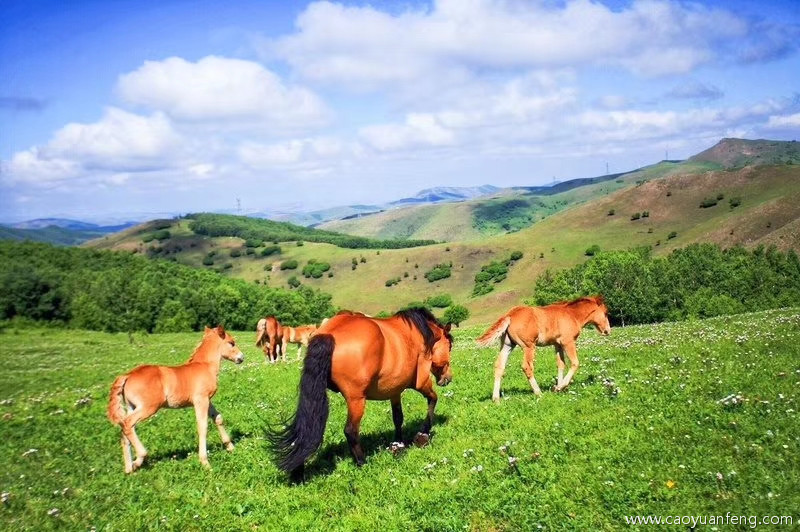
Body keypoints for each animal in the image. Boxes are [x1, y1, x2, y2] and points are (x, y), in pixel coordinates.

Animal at [107, 325, 244, 473]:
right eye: (231, 343)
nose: (242, 357)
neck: (205, 366)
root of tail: (128, 375)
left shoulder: (207, 400)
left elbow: (218, 418)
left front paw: (230, 447)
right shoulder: (200, 400)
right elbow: (203, 426)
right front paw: (205, 462)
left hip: (131, 407)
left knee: (124, 429)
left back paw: (129, 469)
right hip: (148, 407)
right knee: (127, 424)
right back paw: (139, 459)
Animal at [268, 308, 453, 479]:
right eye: (450, 346)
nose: (448, 378)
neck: (418, 333)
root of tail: (330, 333)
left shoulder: (394, 390)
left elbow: (398, 418)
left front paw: (398, 444)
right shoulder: (421, 382)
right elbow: (433, 399)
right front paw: (423, 434)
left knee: (305, 428)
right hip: (356, 400)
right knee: (350, 430)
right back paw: (362, 462)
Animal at [476, 295, 610, 402]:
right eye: (605, 312)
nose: (607, 331)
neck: (572, 315)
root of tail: (510, 315)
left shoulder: (557, 344)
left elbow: (561, 364)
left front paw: (558, 387)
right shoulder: (567, 342)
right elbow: (575, 363)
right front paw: (561, 387)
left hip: (507, 345)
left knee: (499, 366)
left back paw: (496, 398)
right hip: (529, 346)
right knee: (527, 366)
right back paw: (538, 392)